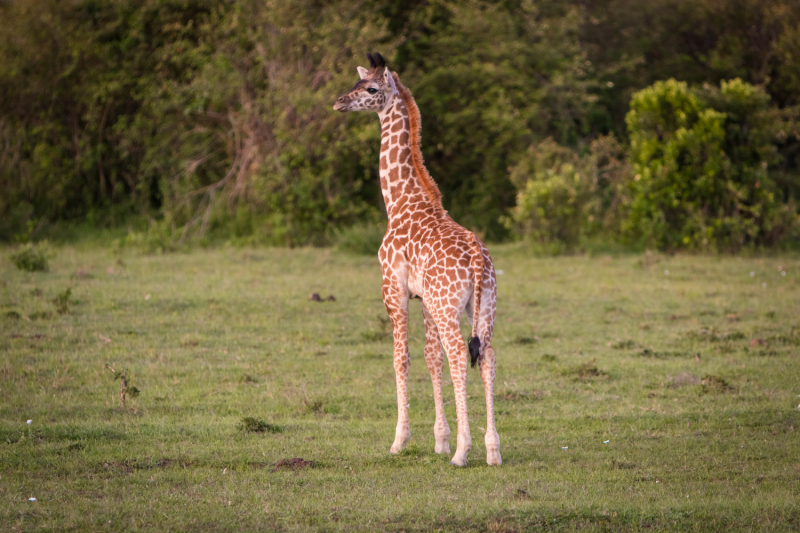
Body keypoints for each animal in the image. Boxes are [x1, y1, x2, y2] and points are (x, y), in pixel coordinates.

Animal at [332, 52, 500, 464]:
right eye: (356, 82)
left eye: (370, 89)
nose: (339, 102)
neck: (400, 200)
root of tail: (478, 260)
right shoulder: (424, 298)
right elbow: (430, 358)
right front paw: (440, 440)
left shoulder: (393, 289)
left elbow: (402, 357)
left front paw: (400, 441)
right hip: (482, 306)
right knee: (486, 358)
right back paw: (492, 450)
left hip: (448, 306)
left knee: (460, 357)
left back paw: (464, 452)